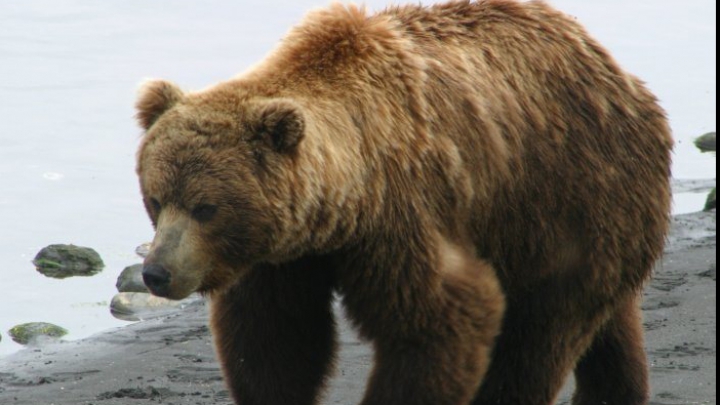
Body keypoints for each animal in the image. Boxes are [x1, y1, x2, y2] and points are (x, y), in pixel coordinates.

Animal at [135, 1, 676, 402]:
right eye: (156, 199)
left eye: (206, 207)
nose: (156, 272)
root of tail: (622, 76)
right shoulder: (284, 255)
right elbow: (275, 338)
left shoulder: (401, 215)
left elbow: (439, 319)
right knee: (610, 325)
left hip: (567, 198)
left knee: (541, 335)